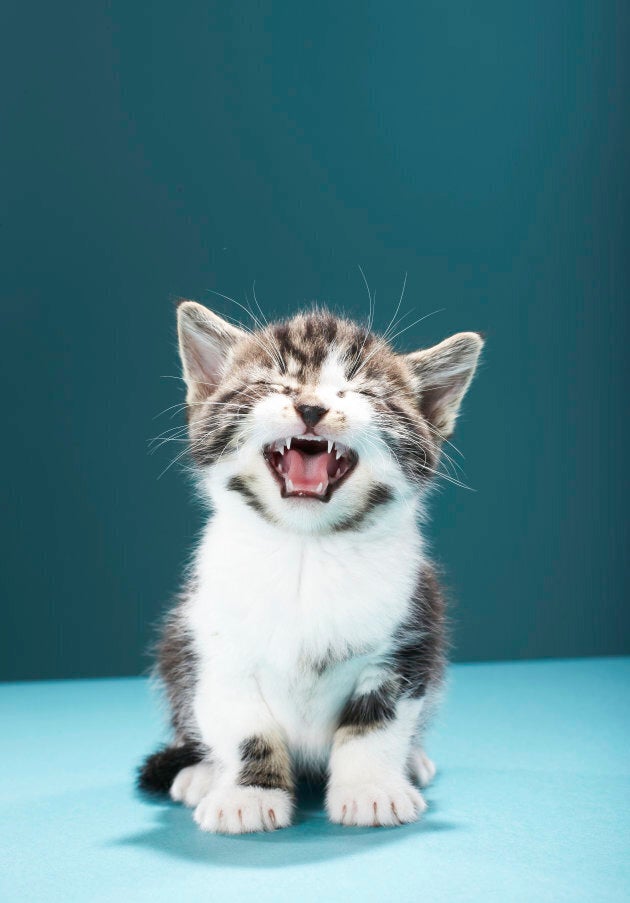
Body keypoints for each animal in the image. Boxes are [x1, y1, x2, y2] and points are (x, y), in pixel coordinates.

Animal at [138, 302, 484, 832]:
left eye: (360, 392)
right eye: (274, 384)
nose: (311, 408)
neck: (306, 551)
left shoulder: (409, 638)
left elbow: (376, 725)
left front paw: (370, 790)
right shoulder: (211, 644)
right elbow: (245, 728)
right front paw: (248, 795)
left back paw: (413, 760)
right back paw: (199, 773)